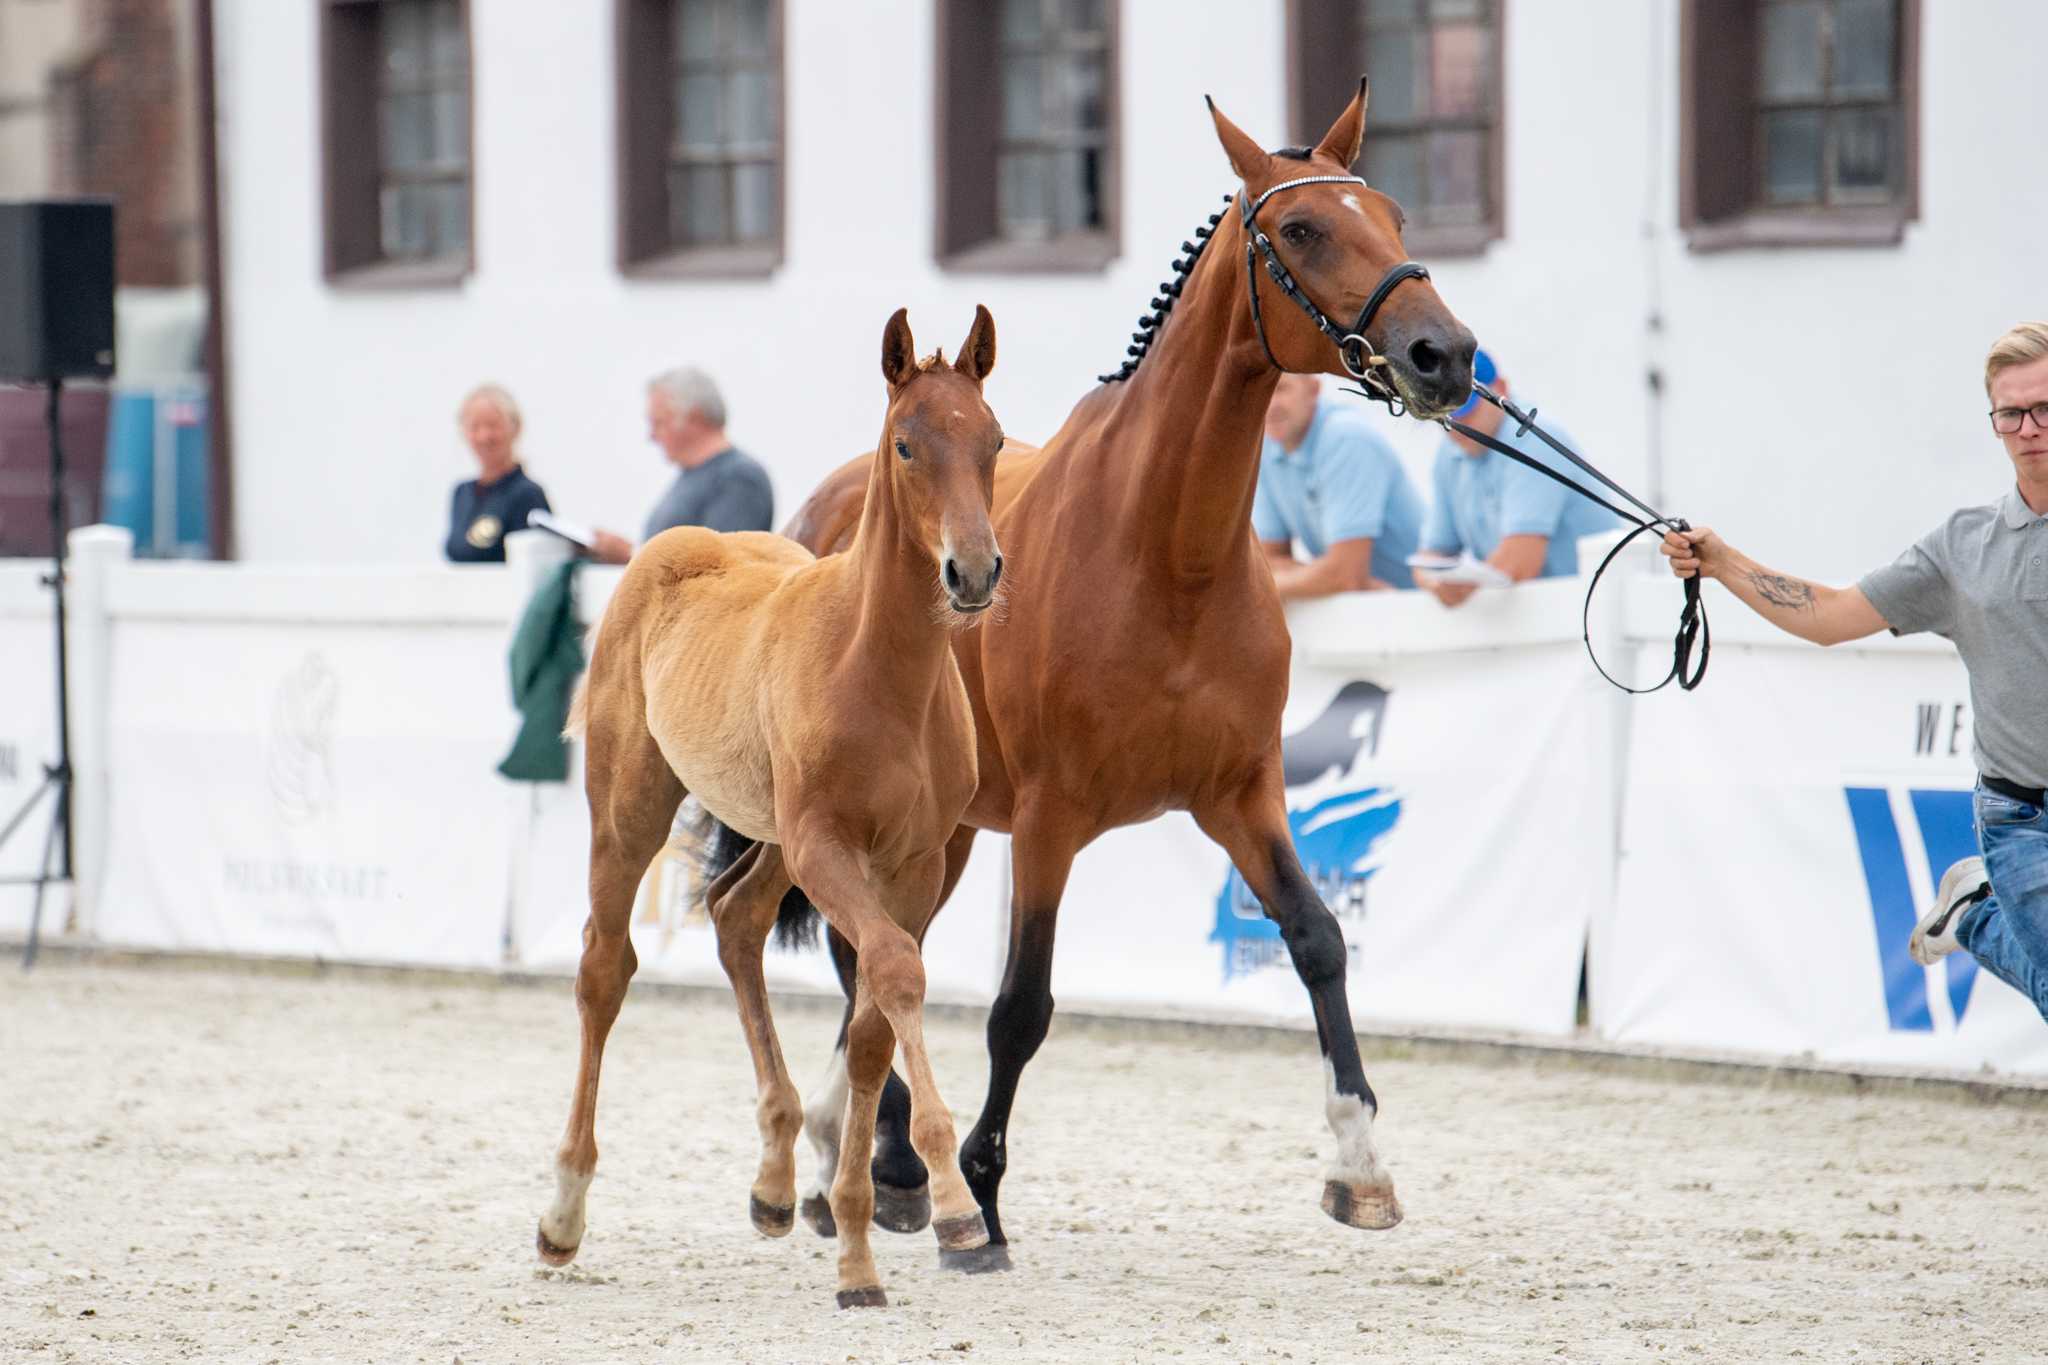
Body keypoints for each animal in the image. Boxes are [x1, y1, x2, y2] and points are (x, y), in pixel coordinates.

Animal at [534, 306, 1009, 1309]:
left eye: (992, 440)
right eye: (906, 443)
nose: (974, 572)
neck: (880, 671)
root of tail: (676, 542)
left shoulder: (914, 862)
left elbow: (873, 1021)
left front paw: (859, 1255)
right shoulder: (830, 847)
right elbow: (895, 975)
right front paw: (952, 1204)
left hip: (777, 840)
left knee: (735, 914)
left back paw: (775, 1184)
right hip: (632, 808)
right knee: (604, 968)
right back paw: (562, 1214)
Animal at [770, 83, 1477, 1268]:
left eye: (1392, 214)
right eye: (1301, 229)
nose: (1445, 355)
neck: (1165, 558)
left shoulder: (1241, 795)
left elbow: (1318, 941)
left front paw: (1360, 1165)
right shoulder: (1051, 821)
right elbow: (1022, 1005)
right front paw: (983, 1197)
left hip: (943, 834)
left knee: (871, 954)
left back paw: (860, 1161)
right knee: (863, 949)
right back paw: (890, 1164)